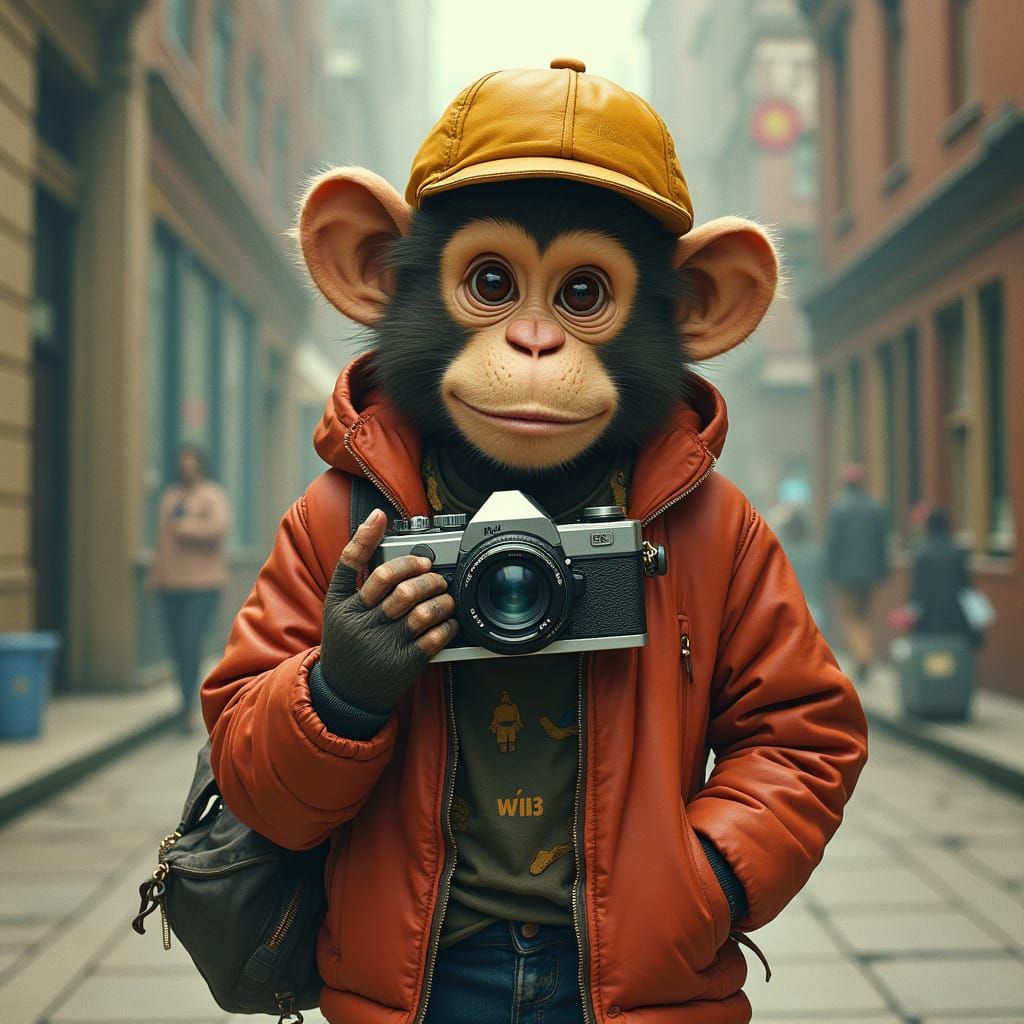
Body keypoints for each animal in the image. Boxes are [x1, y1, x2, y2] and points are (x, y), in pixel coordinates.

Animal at [204, 60, 867, 1024]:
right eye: (491, 282)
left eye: (582, 294)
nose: (533, 341)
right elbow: (243, 719)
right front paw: (367, 643)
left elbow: (795, 718)